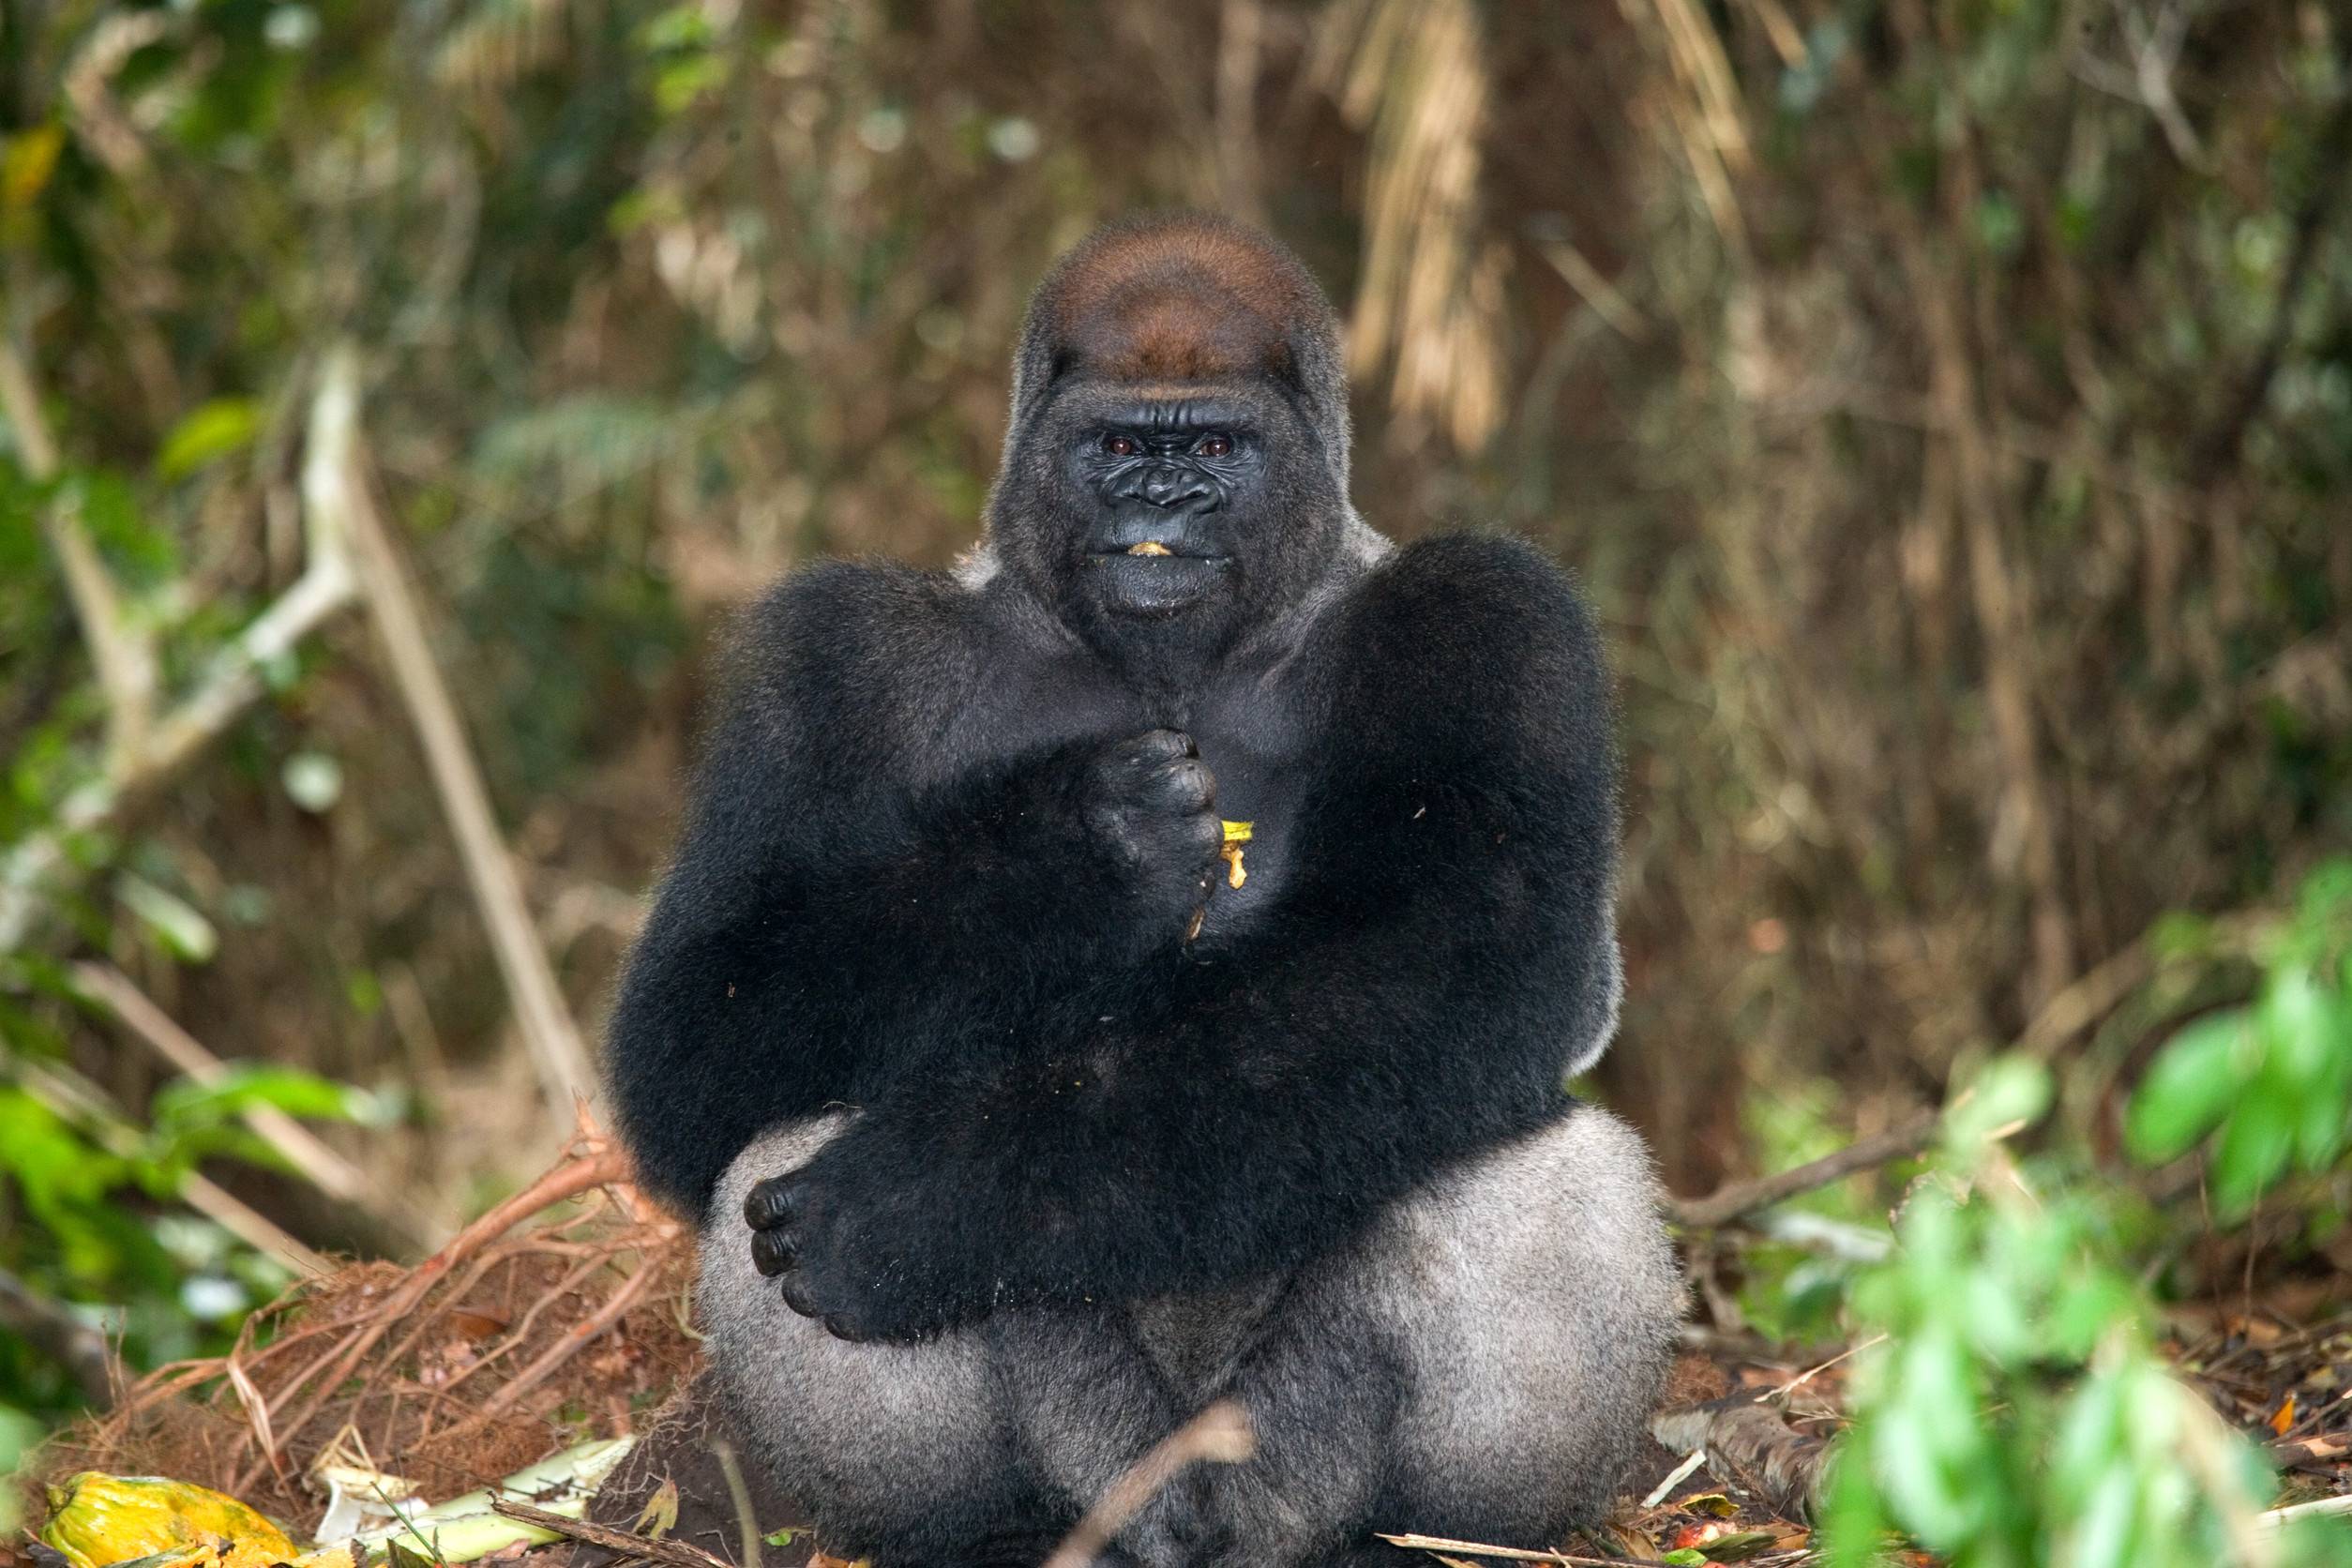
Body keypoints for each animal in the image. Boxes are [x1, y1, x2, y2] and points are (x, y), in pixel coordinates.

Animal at [607, 213, 1681, 1568]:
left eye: (1211, 446)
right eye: (1120, 445)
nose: (1159, 501)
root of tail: (1187, 1519)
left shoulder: (1493, 611)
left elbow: (1455, 964)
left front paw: (930, 1204)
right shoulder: (831, 653)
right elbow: (701, 1027)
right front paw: (1076, 852)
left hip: (1273, 1475)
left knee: (1538, 1170)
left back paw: (1436, 1535)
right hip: (1109, 1470)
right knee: (785, 1136)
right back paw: (981, 1533)